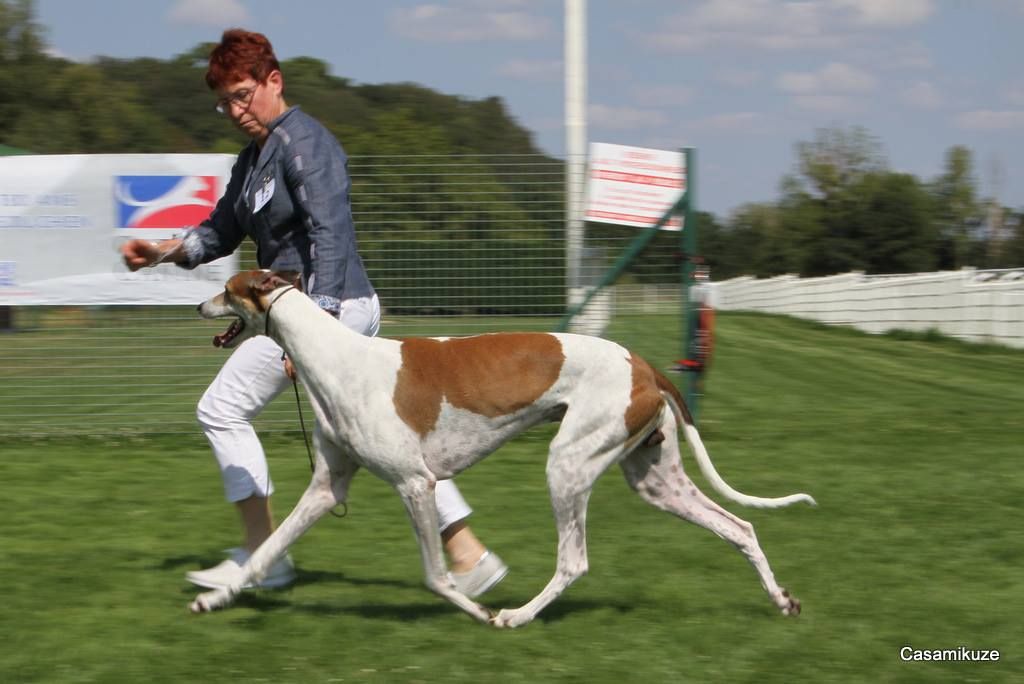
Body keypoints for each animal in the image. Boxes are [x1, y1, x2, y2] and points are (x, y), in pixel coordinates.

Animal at [193, 270, 815, 626]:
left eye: (227, 290)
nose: (200, 306)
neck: (337, 357)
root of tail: (642, 363)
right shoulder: (327, 489)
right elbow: (267, 549)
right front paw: (216, 597)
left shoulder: (415, 484)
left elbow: (435, 575)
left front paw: (478, 609)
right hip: (655, 479)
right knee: (740, 527)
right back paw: (782, 600)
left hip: (569, 464)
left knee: (574, 561)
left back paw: (515, 616)